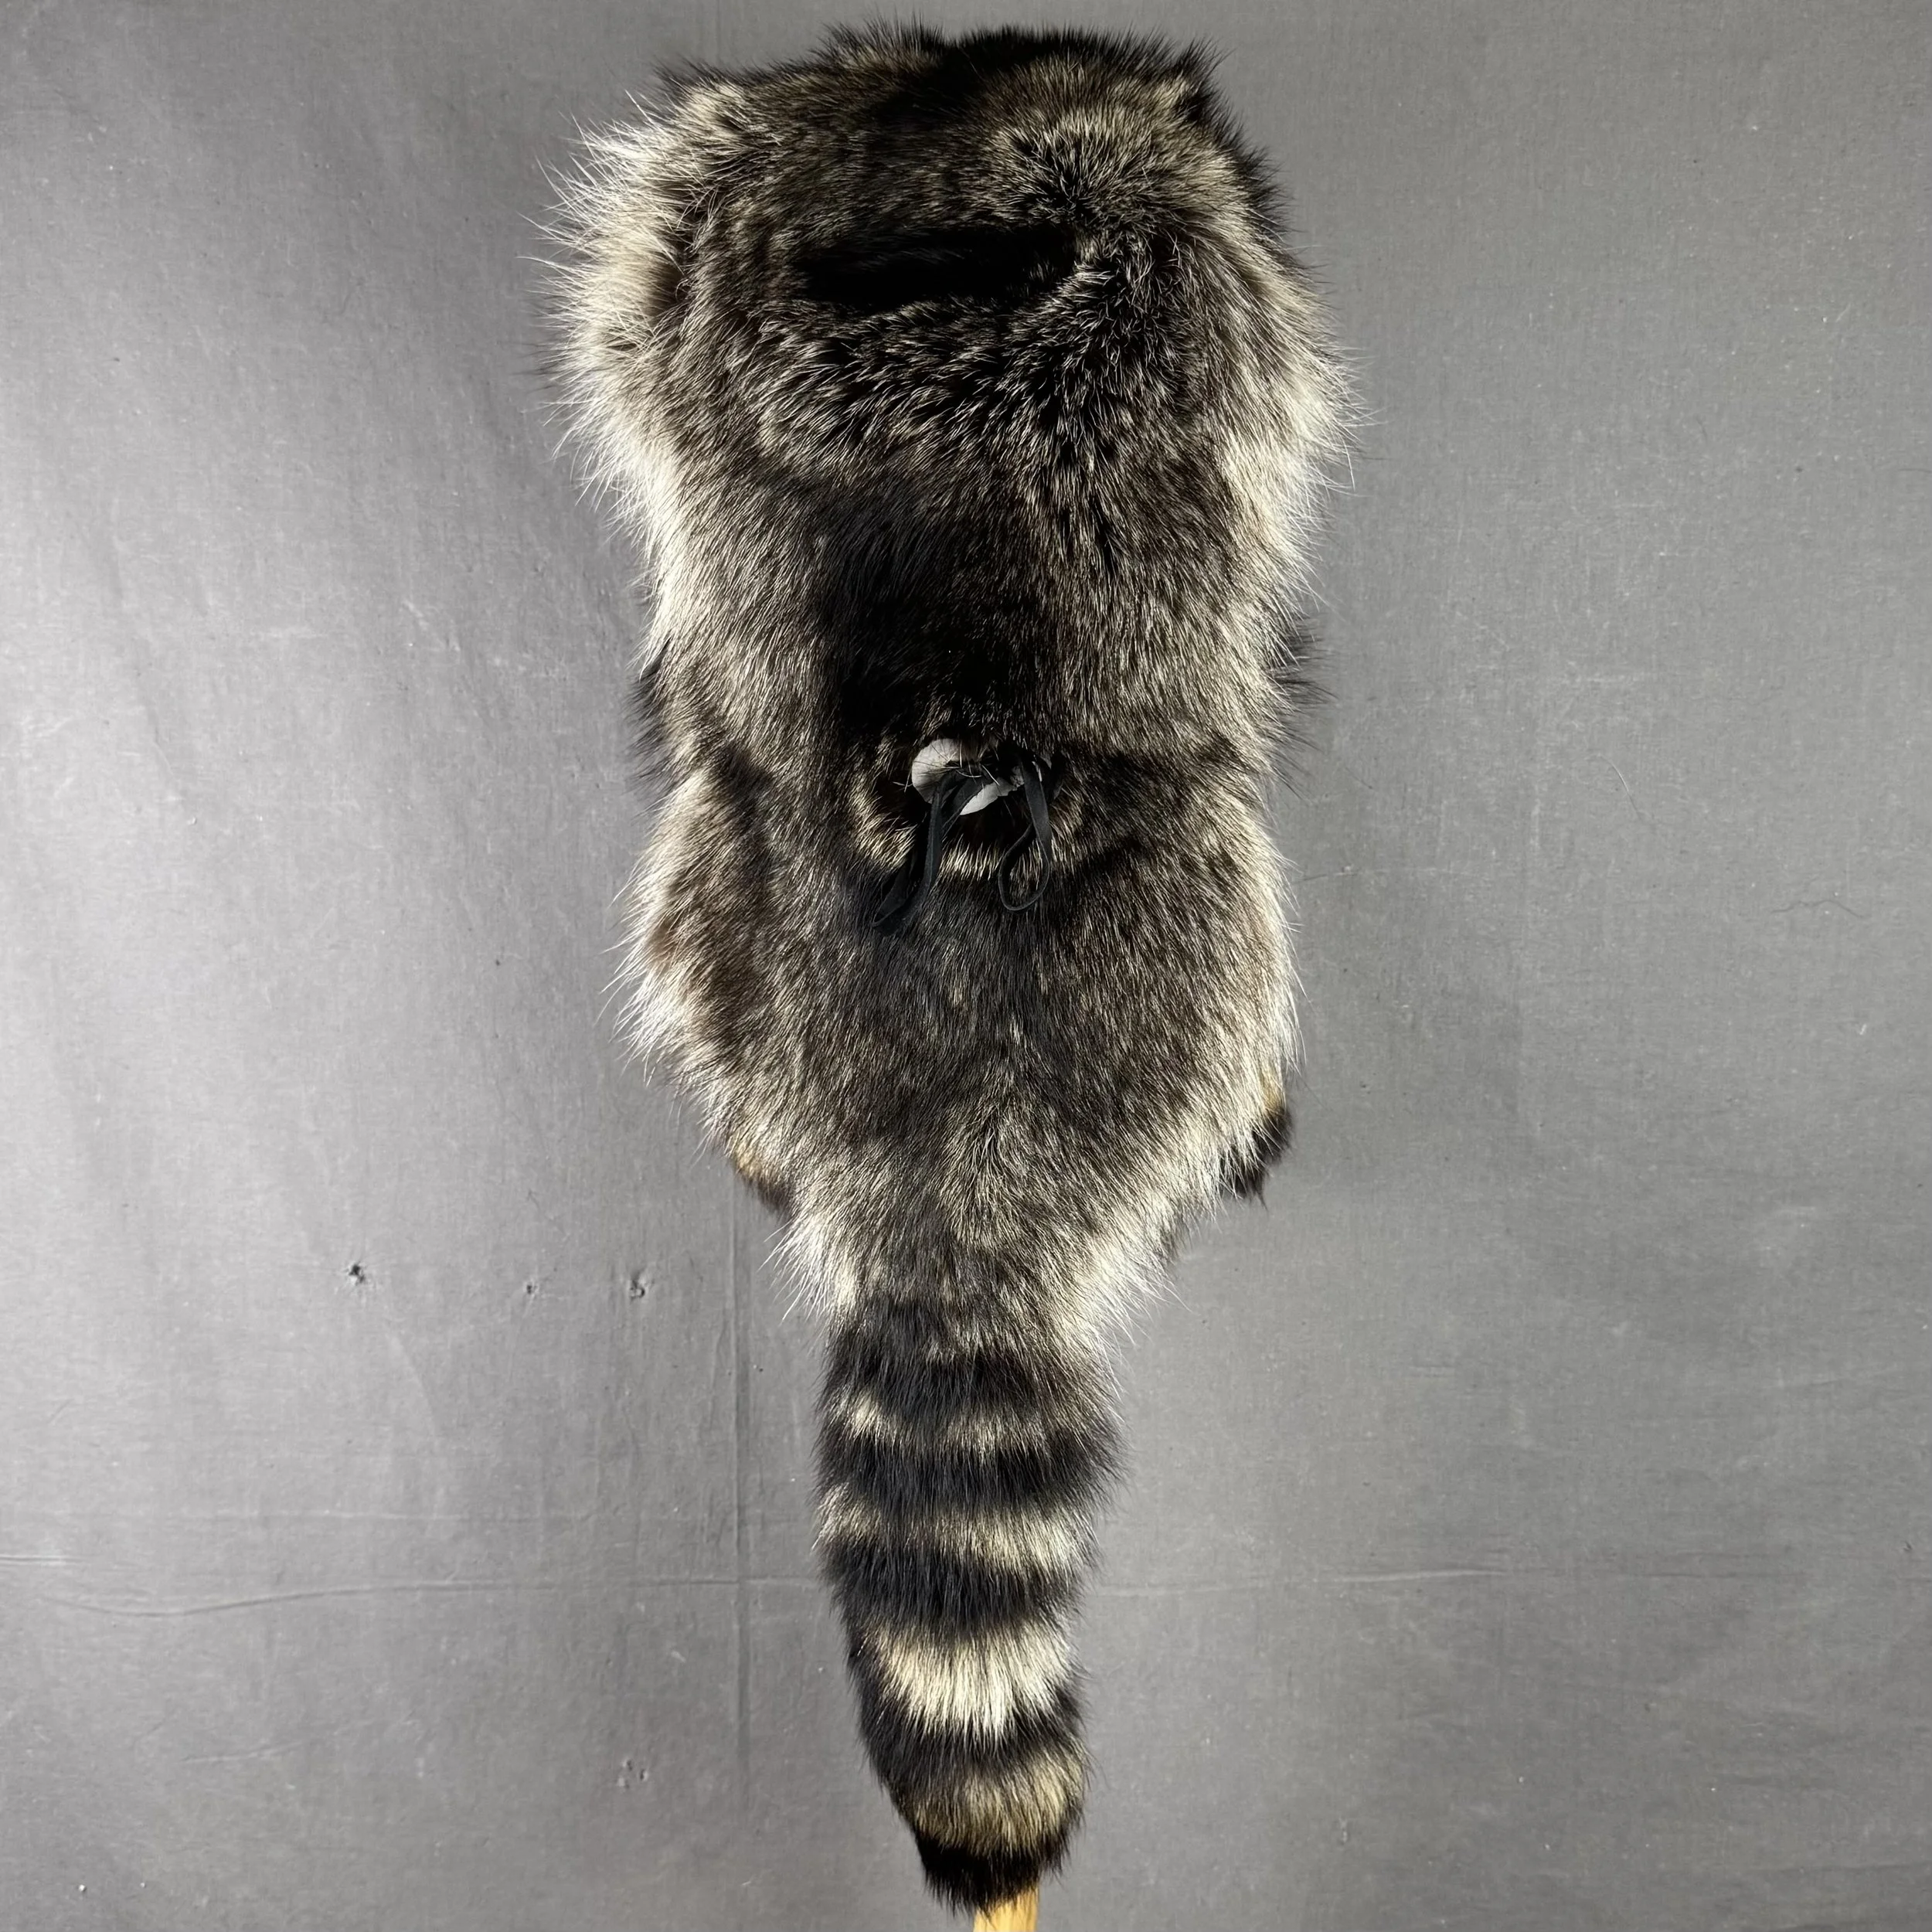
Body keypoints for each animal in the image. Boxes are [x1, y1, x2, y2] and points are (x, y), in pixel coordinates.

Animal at [551, 25, 1346, 1912]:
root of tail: (954, 1182)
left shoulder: (679, 287)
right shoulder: (1216, 308)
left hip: (720, 908)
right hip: (1203, 922)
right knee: (1236, 924)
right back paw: (1253, 1105)